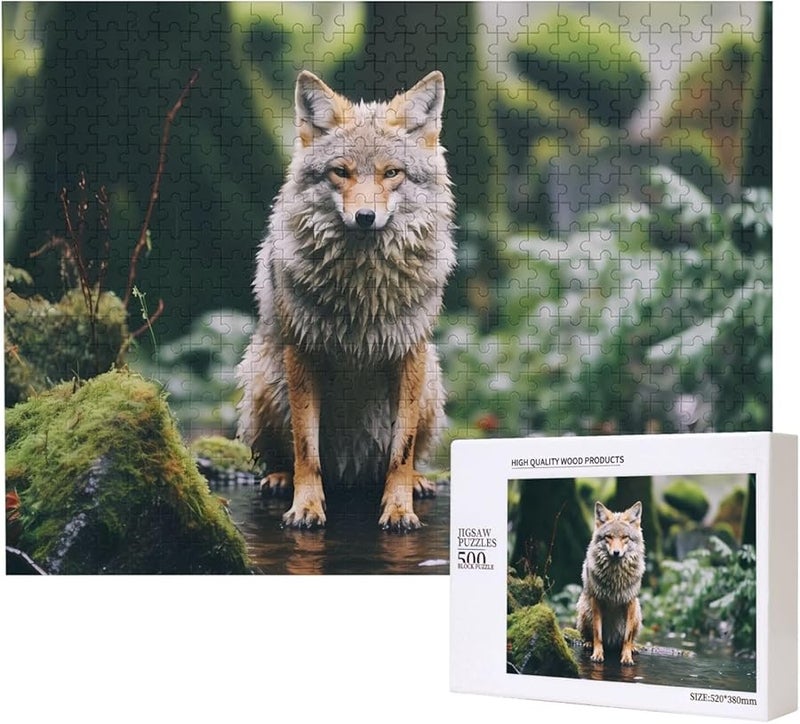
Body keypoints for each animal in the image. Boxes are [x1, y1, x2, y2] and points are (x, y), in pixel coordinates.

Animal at [236, 70, 456, 531]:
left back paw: (419, 482)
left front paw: (399, 509)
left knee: (409, 454)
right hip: (265, 377)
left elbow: (402, 449)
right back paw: (280, 479)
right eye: (341, 172)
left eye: (392, 173)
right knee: (279, 455)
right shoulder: (303, 351)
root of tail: (351, 474)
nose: (365, 218)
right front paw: (306, 506)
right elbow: (306, 447)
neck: (363, 289)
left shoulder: (410, 353)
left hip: (431, 379)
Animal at [576, 501, 646, 665]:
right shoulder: (596, 600)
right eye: (608, 537)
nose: (616, 553)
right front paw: (597, 654)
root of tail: (612, 642)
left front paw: (627, 657)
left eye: (625, 537)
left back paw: (633, 647)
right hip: (584, 608)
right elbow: (597, 633)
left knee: (631, 637)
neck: (616, 577)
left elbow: (627, 636)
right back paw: (588, 643)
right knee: (588, 635)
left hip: (637, 611)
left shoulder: (630, 601)